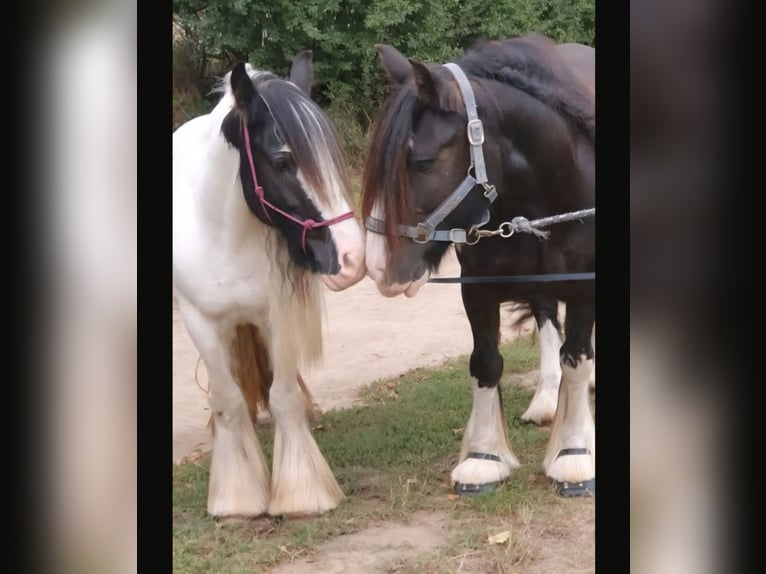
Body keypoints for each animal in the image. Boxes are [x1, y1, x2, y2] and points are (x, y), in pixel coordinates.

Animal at [172, 51, 367, 517]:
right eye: (281, 163)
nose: (353, 258)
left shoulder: (278, 316)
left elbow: (284, 398)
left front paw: (301, 491)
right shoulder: (199, 321)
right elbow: (227, 402)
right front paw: (236, 498)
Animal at [362, 34, 595, 496]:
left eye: (422, 163)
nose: (378, 266)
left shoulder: (584, 286)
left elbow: (577, 359)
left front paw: (574, 454)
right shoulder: (478, 288)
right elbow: (486, 362)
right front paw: (483, 459)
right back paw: (546, 398)